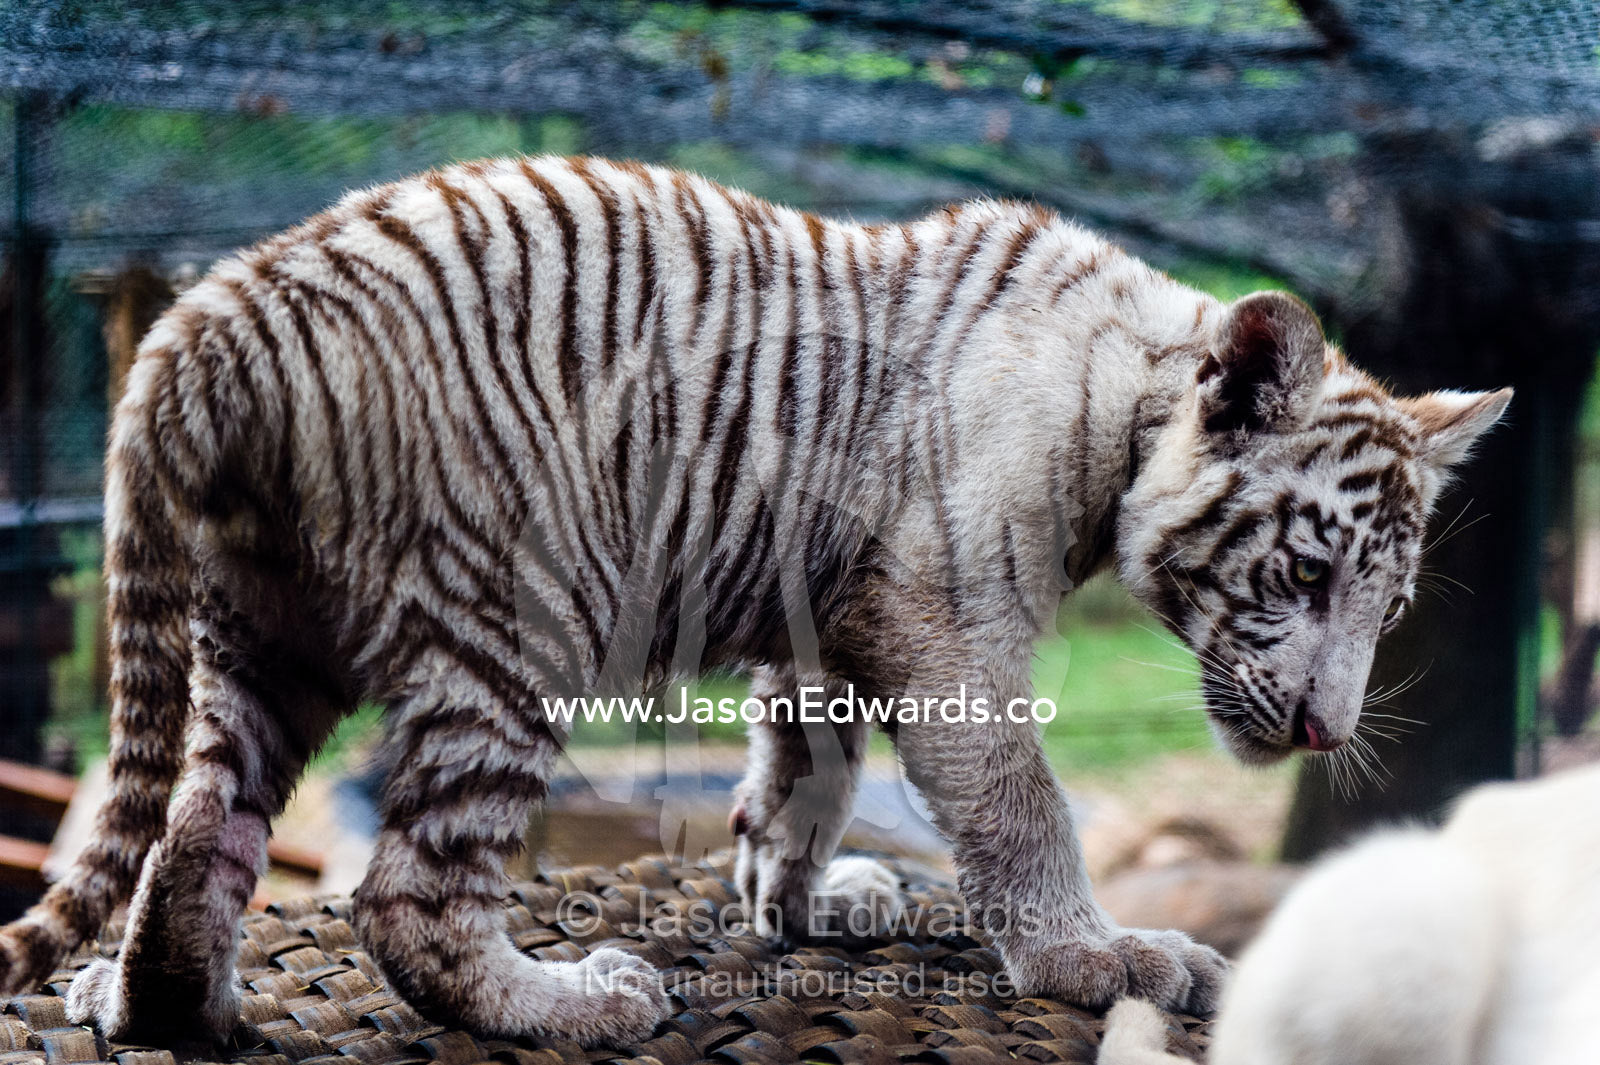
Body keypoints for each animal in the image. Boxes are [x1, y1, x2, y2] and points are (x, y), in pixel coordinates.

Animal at [0, 155, 1508, 1049]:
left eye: (1384, 608)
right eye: (1302, 576)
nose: (1325, 734)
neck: (1124, 404)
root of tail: (219, 306)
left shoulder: (827, 619)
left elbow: (806, 773)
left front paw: (802, 899)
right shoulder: (945, 619)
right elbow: (1021, 804)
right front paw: (1103, 961)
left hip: (260, 630)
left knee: (195, 828)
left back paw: (164, 1004)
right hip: (519, 608)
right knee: (408, 895)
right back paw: (575, 1003)